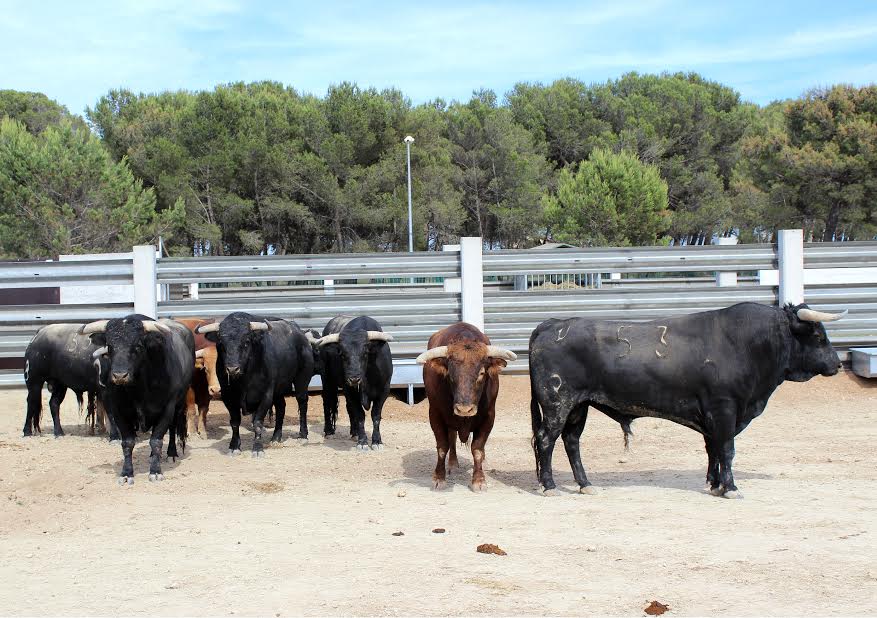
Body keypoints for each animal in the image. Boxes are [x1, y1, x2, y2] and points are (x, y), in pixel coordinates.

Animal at [416, 322, 512, 490]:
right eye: (451, 374)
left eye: (481, 373)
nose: (464, 409)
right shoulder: (435, 414)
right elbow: (442, 447)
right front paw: (439, 478)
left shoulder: (489, 416)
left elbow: (478, 449)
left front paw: (479, 480)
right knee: (452, 438)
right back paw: (453, 464)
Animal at [528, 300, 840, 498]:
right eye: (818, 336)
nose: (836, 364)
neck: (747, 344)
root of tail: (552, 324)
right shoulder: (724, 409)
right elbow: (726, 449)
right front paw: (731, 488)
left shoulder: (713, 416)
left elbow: (713, 449)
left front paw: (715, 484)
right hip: (557, 402)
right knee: (546, 439)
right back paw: (549, 486)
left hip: (578, 406)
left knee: (571, 441)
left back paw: (585, 484)